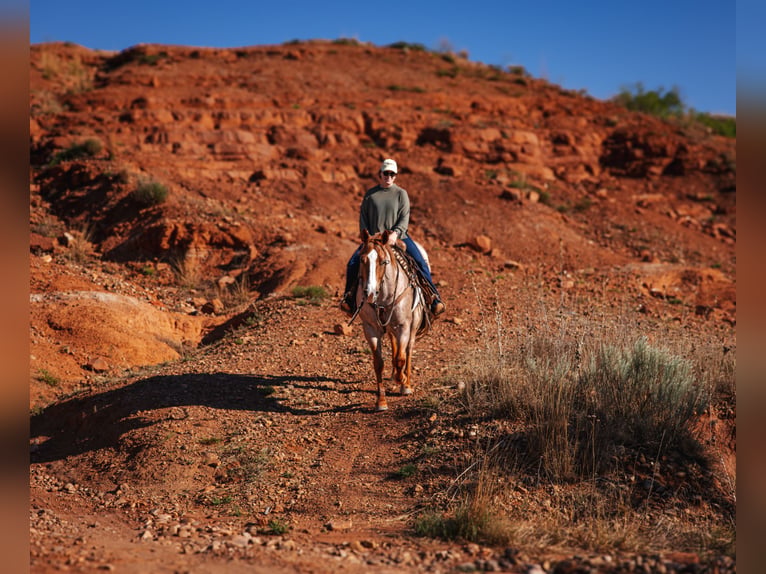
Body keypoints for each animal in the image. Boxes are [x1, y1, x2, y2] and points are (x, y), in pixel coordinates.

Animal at [354, 229, 428, 411]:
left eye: (383, 262)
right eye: (362, 259)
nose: (369, 293)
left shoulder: (403, 326)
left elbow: (401, 358)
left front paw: (402, 382)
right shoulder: (370, 328)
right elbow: (378, 363)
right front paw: (381, 401)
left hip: (413, 326)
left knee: (408, 351)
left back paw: (406, 382)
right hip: (389, 328)